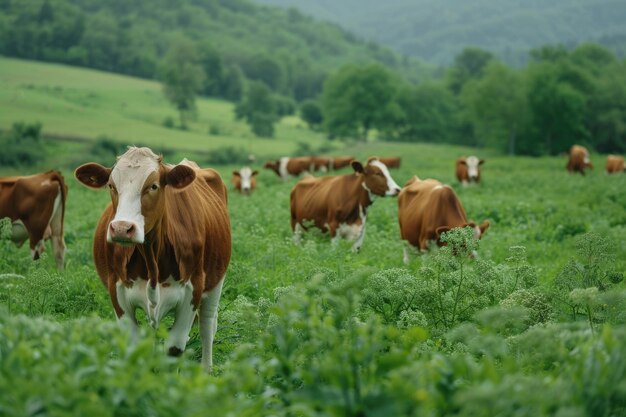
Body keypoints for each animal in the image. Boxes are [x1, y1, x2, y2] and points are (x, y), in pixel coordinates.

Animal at [73, 146, 229, 370]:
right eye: (111, 186)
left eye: (153, 186)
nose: (122, 228)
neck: (151, 258)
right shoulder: (117, 290)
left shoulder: (193, 290)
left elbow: (174, 349)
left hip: (216, 280)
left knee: (207, 325)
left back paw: (206, 370)